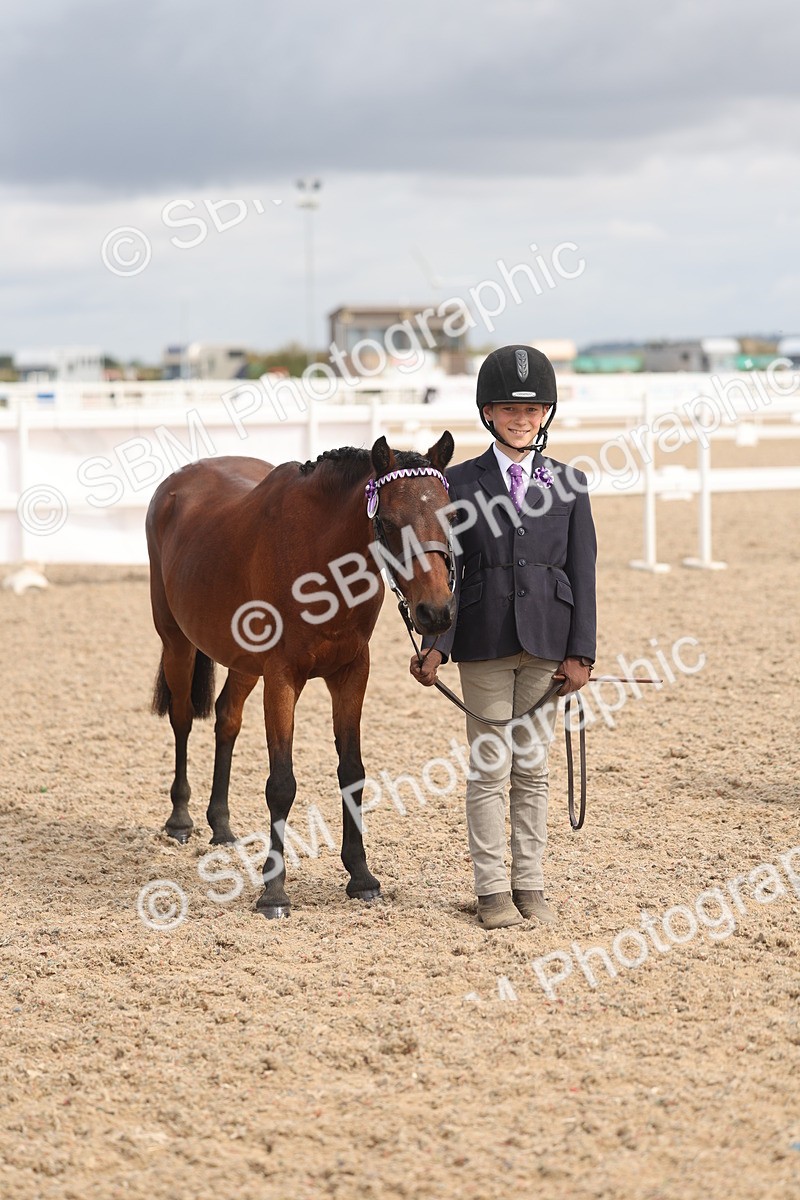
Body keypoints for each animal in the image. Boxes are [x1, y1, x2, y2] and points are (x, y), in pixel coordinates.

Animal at [146, 433, 455, 918]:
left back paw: (221, 826)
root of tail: (176, 483)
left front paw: (361, 876)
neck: (320, 560)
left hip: (241, 661)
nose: (436, 612)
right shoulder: (281, 677)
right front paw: (273, 892)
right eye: (386, 522)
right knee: (181, 719)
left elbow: (352, 771)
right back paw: (181, 819)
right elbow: (281, 784)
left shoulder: (352, 673)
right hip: (177, 641)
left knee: (227, 719)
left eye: (452, 515)